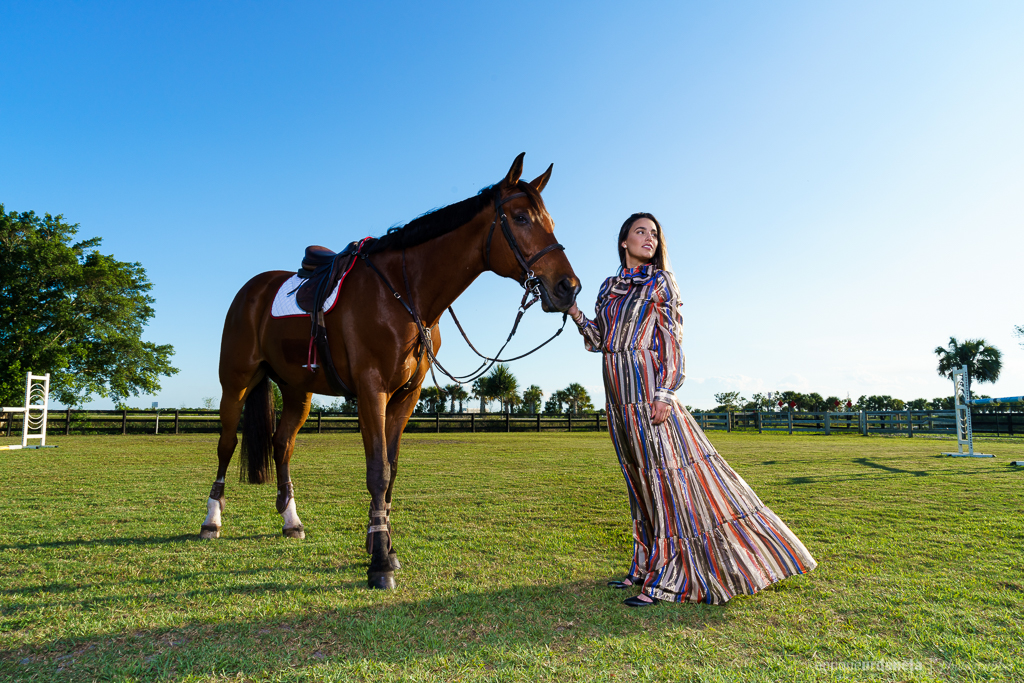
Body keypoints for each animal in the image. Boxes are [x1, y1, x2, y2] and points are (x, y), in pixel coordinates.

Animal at [198, 153, 581, 589]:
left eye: (550, 220)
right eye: (519, 217)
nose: (568, 287)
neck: (402, 293)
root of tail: (252, 290)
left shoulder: (406, 395)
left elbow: (391, 469)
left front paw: (383, 544)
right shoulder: (371, 390)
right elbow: (378, 471)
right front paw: (380, 560)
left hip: (298, 391)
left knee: (282, 444)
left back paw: (290, 520)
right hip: (236, 383)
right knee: (226, 444)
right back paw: (211, 521)